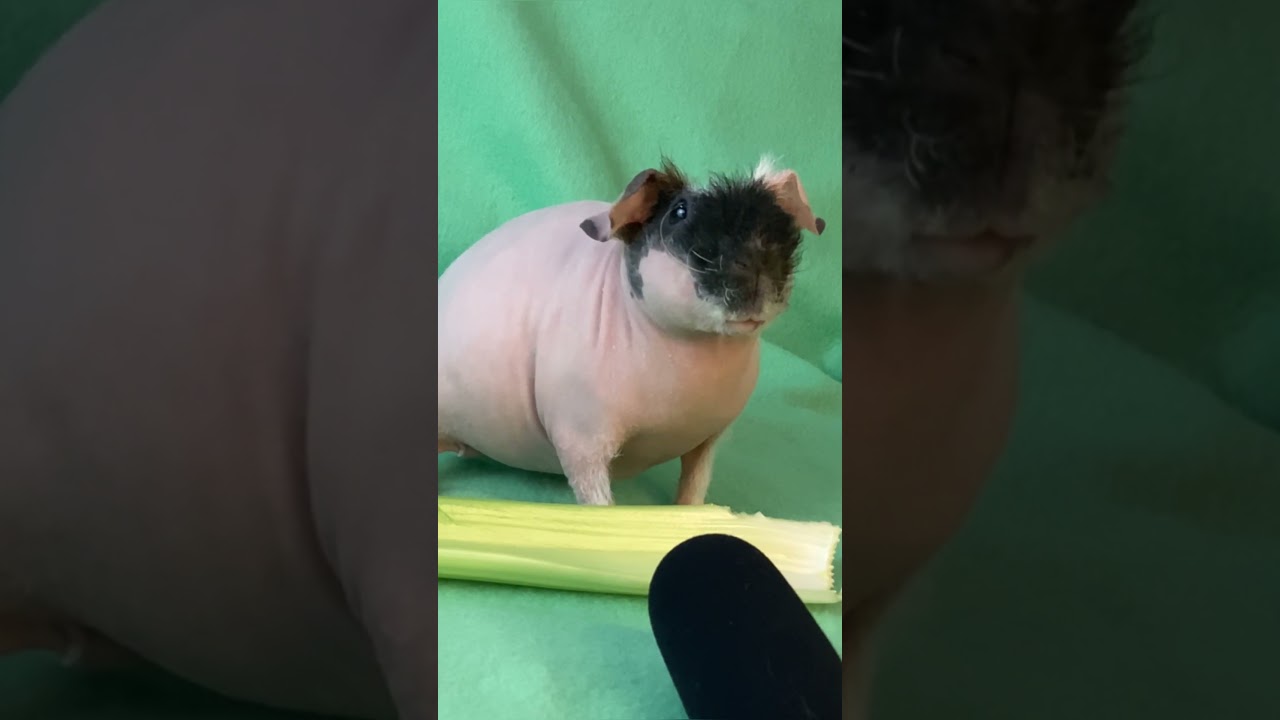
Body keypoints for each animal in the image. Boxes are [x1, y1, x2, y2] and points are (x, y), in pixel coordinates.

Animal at [438, 158, 825, 506]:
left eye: (774, 215)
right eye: (679, 212)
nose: (757, 265)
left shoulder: (709, 437)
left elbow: (694, 485)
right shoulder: (580, 437)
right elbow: (597, 499)